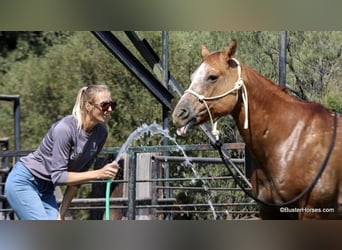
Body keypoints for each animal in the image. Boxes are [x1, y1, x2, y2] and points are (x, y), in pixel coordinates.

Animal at [174, 40, 342, 220]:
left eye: (212, 77)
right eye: (192, 78)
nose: (179, 114)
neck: (291, 140)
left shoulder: (314, 212)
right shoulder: (270, 210)